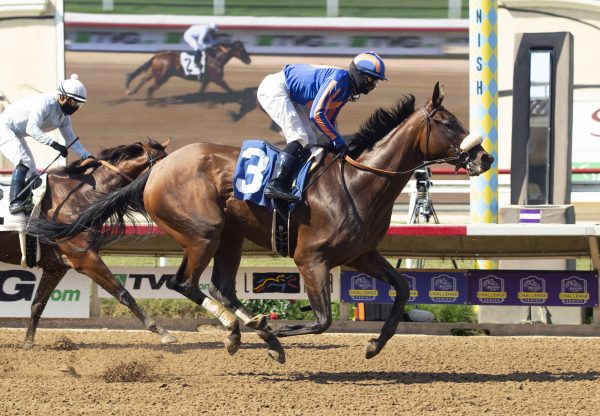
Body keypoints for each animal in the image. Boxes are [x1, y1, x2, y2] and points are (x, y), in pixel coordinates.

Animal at [1, 140, 177, 348]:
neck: (78, 198)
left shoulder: (56, 267)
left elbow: (38, 304)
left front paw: (28, 343)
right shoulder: (85, 258)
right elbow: (123, 293)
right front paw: (161, 330)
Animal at [28, 83, 492, 360]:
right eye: (448, 123)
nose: (484, 157)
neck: (358, 182)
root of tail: (155, 170)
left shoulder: (361, 255)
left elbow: (403, 288)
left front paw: (375, 343)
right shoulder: (311, 258)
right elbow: (322, 321)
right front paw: (277, 333)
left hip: (230, 235)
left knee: (221, 285)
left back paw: (242, 326)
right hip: (204, 232)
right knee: (184, 283)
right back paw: (247, 328)